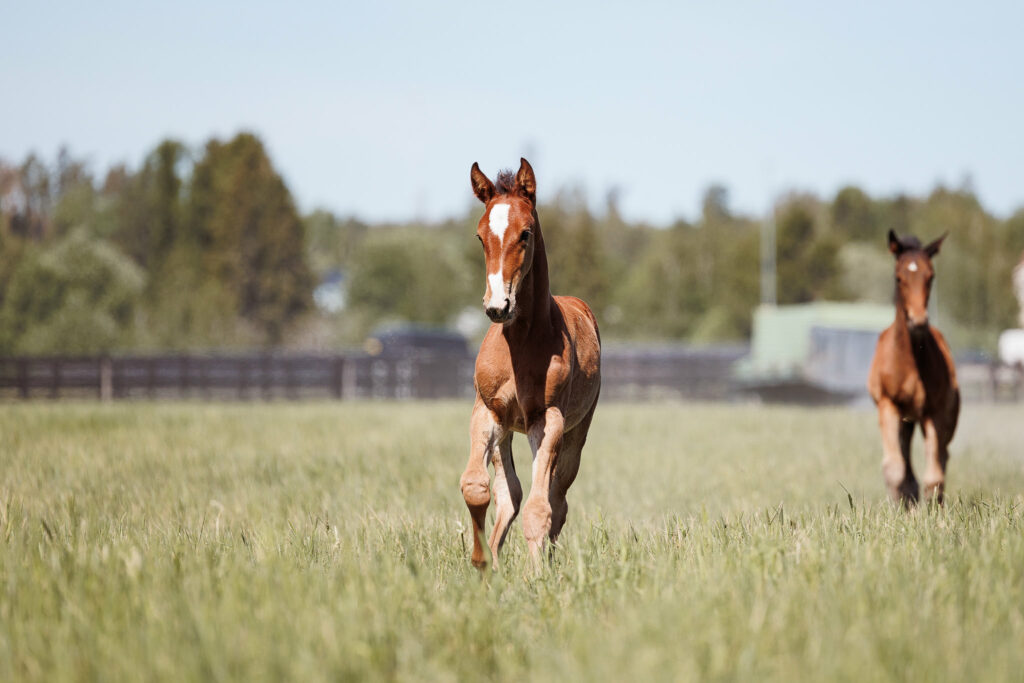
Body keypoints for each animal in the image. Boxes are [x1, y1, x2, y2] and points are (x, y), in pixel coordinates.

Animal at [868, 232, 954, 505]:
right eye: (899, 277)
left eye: (931, 276)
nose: (918, 320)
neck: (910, 362)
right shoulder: (887, 405)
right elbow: (895, 469)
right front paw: (901, 506)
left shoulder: (934, 412)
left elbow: (934, 477)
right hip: (904, 419)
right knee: (904, 458)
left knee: (942, 457)